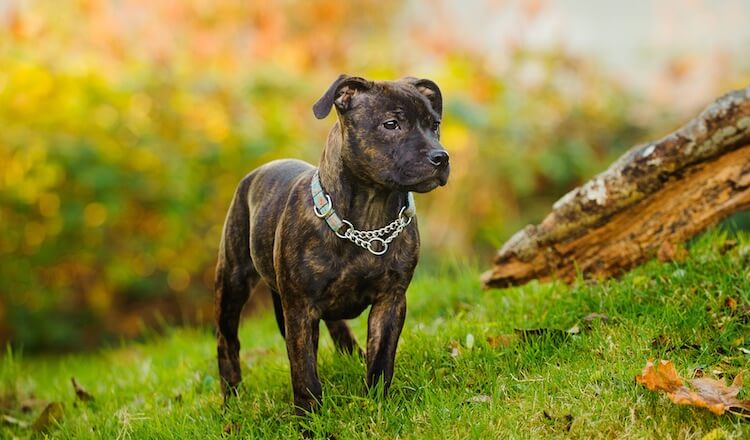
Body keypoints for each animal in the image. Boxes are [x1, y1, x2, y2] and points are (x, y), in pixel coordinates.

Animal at [217, 74, 452, 414]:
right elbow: (303, 369)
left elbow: (382, 358)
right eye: (391, 124)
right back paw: (232, 399)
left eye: (434, 124)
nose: (441, 157)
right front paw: (309, 416)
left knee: (338, 328)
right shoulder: (300, 310)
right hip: (233, 281)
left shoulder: (391, 301)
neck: (368, 219)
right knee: (227, 341)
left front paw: (377, 403)